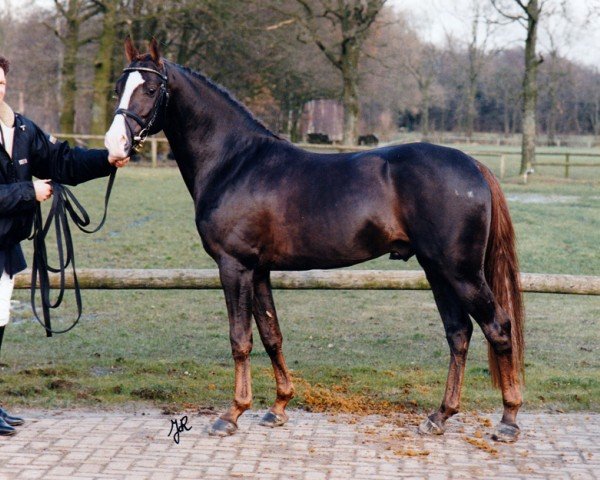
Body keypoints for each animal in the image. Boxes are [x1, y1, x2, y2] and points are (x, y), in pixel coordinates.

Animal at [105, 39, 524, 444]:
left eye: (152, 88)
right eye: (118, 86)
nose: (114, 145)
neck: (235, 162)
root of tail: (474, 165)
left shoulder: (234, 265)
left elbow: (240, 338)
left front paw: (232, 414)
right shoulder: (259, 270)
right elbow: (271, 335)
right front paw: (277, 407)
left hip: (460, 272)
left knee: (498, 327)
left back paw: (508, 421)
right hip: (438, 271)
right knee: (459, 333)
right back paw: (439, 416)